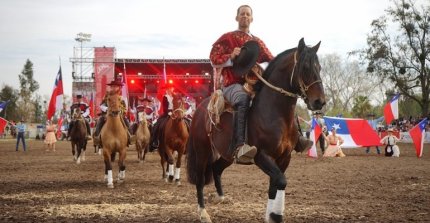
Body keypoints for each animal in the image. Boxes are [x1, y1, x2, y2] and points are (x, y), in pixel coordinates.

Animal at [187, 38, 326, 223]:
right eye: (305, 67)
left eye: (319, 67)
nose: (319, 102)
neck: (274, 112)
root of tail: (200, 109)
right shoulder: (262, 156)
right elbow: (281, 181)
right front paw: (275, 215)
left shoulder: (284, 158)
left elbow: (275, 186)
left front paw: (271, 216)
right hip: (202, 151)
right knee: (200, 179)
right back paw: (203, 213)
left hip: (226, 155)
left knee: (216, 169)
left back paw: (221, 198)